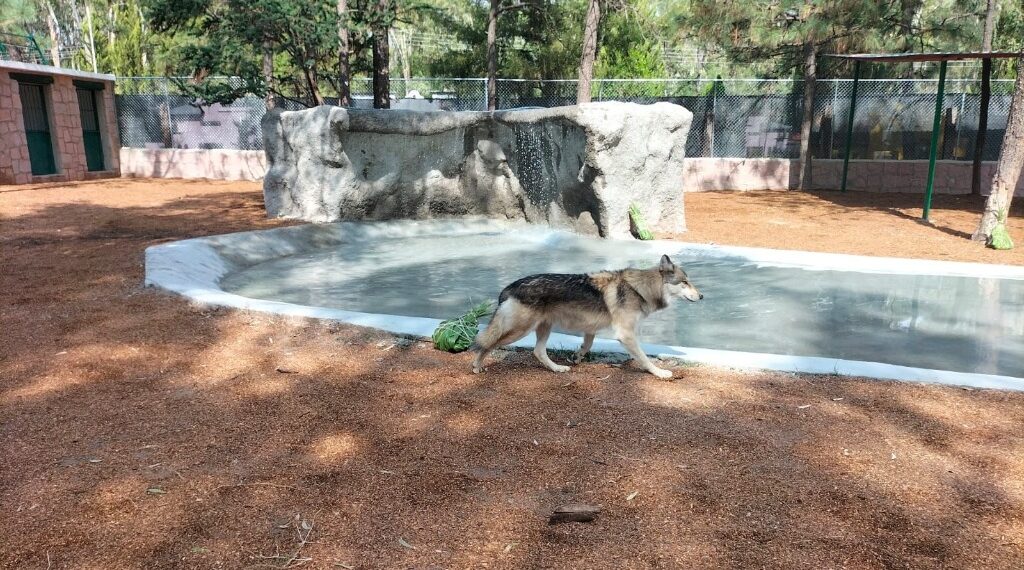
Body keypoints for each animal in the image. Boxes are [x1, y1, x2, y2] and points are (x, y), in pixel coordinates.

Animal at [471, 255, 702, 378]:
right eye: (684, 282)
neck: (639, 288)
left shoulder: (590, 328)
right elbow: (644, 359)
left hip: (544, 327)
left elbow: (588, 345)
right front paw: (660, 373)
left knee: (538, 352)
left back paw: (558, 369)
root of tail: (509, 287)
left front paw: (576, 357)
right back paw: (476, 366)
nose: (701, 296)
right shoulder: (625, 335)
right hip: (519, 330)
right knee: (487, 343)